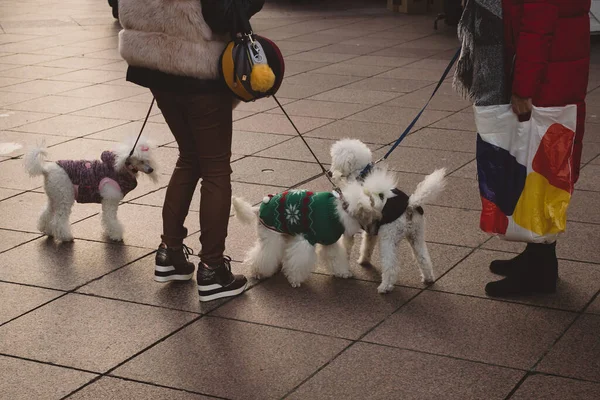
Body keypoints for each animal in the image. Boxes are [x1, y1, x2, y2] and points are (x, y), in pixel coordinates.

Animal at [24, 139, 158, 242]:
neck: (120, 169)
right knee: (59, 220)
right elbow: (110, 218)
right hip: (65, 196)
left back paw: (47, 230)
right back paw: (66, 237)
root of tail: (46, 170)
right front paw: (116, 235)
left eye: (148, 160)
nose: (151, 169)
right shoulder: (110, 199)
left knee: (46, 213)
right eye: (141, 161)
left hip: (54, 196)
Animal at [232, 180, 386, 288]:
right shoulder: (306, 241)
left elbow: (336, 257)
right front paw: (295, 280)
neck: (341, 210)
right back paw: (258, 271)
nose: (380, 222)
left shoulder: (329, 241)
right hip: (272, 236)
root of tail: (258, 209)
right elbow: (298, 261)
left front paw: (343, 272)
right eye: (374, 207)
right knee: (262, 255)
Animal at [330, 139, 448, 292]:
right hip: (417, 235)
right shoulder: (371, 228)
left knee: (390, 266)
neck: (361, 173)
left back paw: (384, 287)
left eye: (335, 160)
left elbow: (347, 246)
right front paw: (364, 261)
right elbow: (367, 245)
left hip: (388, 237)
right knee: (424, 259)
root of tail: (409, 205)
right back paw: (428, 278)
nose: (330, 172)